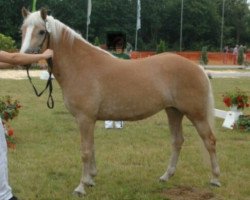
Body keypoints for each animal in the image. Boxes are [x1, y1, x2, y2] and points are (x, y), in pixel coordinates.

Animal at [20, 8, 221, 197]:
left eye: (41, 32)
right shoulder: (89, 120)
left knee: (209, 141)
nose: (24, 60)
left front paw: (81, 187)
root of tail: (198, 68)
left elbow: (85, 151)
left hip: (196, 115)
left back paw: (215, 179)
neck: (81, 65)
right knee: (177, 141)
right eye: (22, 30)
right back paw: (166, 176)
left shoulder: (84, 118)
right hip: (173, 111)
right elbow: (92, 148)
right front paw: (91, 179)